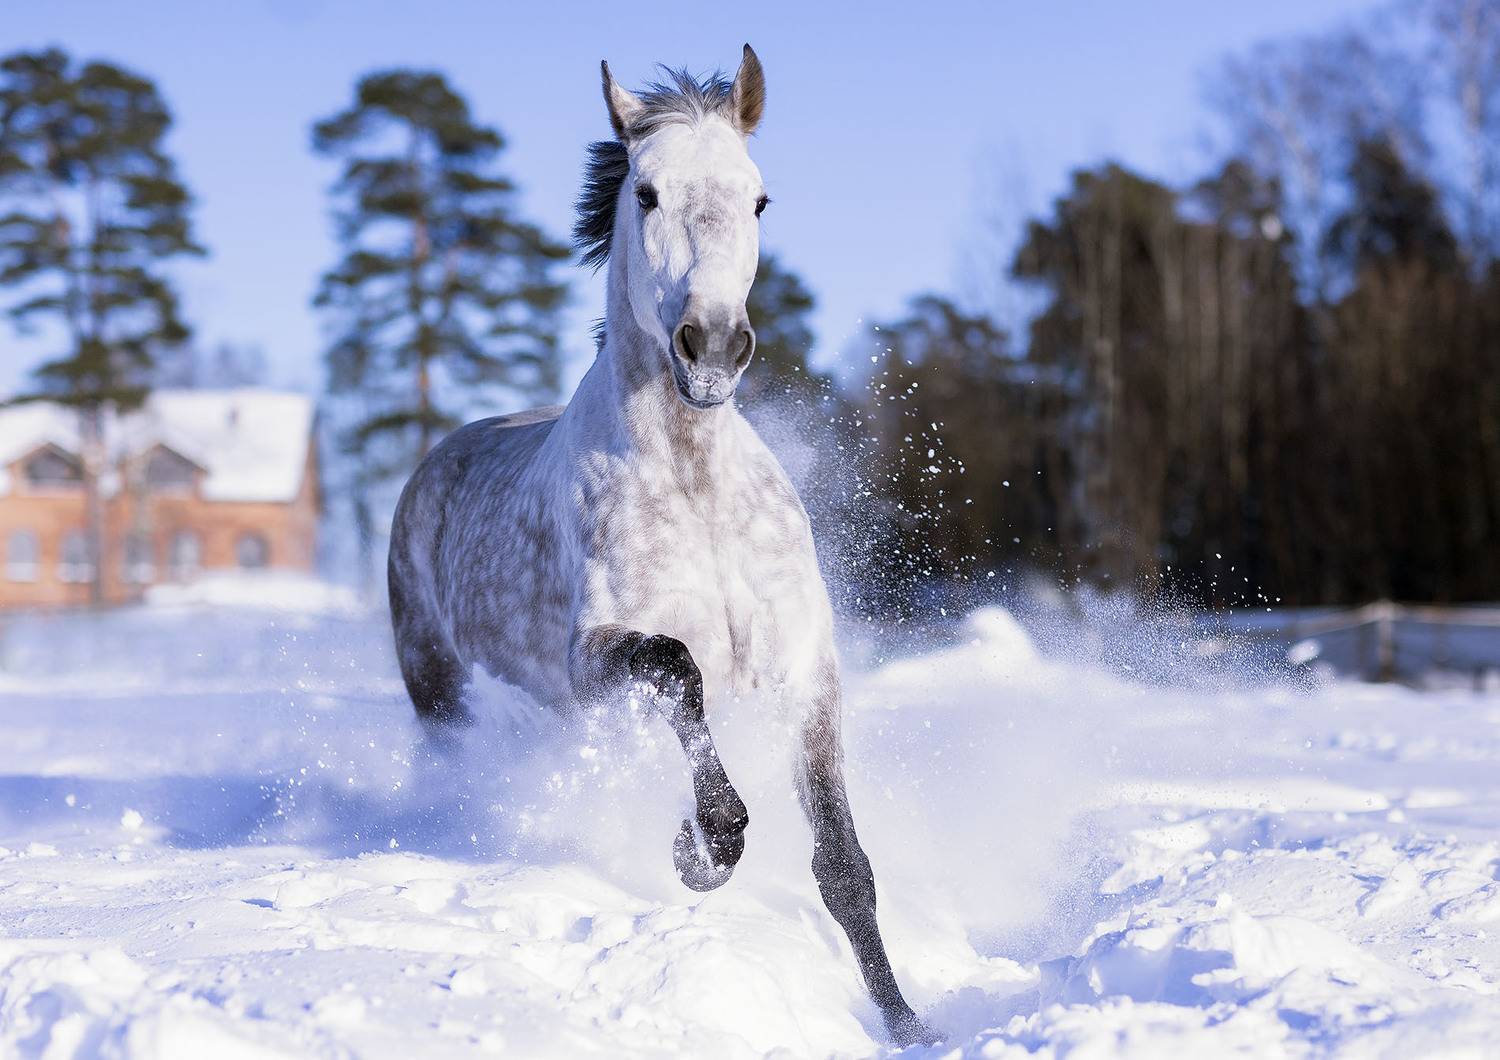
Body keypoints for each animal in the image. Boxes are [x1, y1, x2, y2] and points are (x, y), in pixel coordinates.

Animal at [387, 45, 935, 1047]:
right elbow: (679, 672)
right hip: (443, 691)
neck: (697, 490)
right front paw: (702, 847)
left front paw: (908, 1024)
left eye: (759, 199)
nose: (712, 345)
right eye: (645, 192)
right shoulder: (599, 658)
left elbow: (843, 865)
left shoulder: (808, 666)